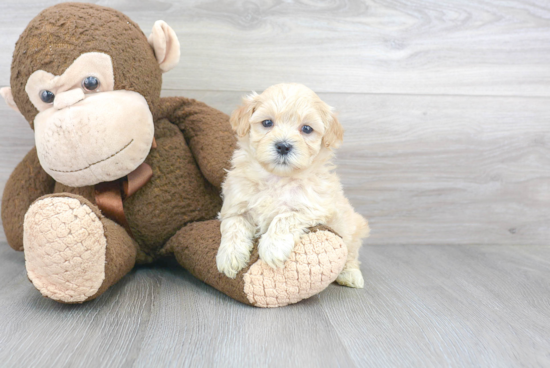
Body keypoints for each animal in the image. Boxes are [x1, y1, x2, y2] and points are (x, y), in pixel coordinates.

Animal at [218, 82, 368, 288]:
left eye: (306, 128)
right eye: (267, 123)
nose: (283, 146)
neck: (277, 178)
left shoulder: (315, 207)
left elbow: (285, 217)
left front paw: (272, 248)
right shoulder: (236, 204)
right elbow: (233, 226)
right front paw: (229, 257)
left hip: (351, 226)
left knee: (351, 253)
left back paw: (350, 274)